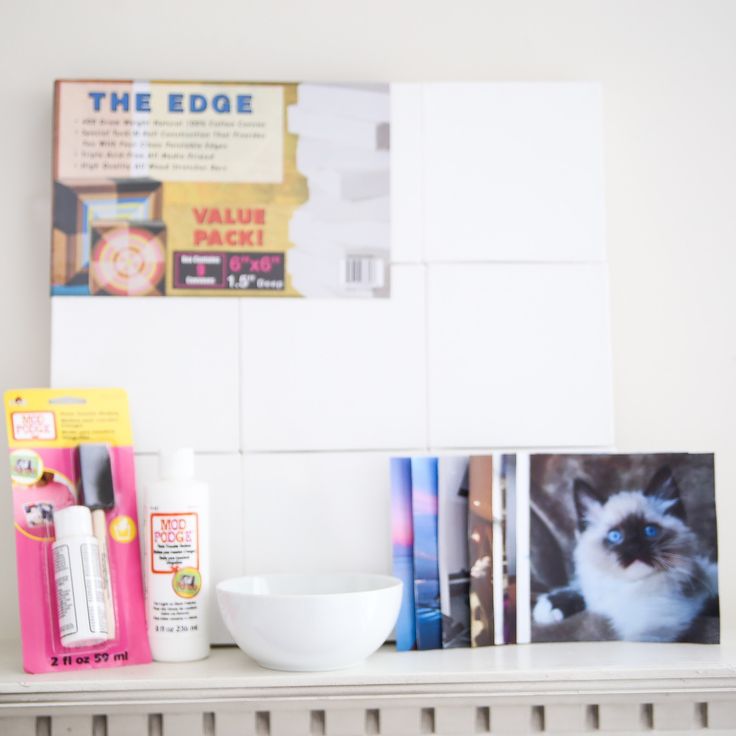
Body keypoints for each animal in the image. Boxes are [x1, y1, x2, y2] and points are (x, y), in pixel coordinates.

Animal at [536, 468, 720, 640]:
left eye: (650, 531)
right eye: (615, 536)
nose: (634, 547)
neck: (630, 591)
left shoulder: (659, 620)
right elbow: (579, 591)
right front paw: (549, 608)